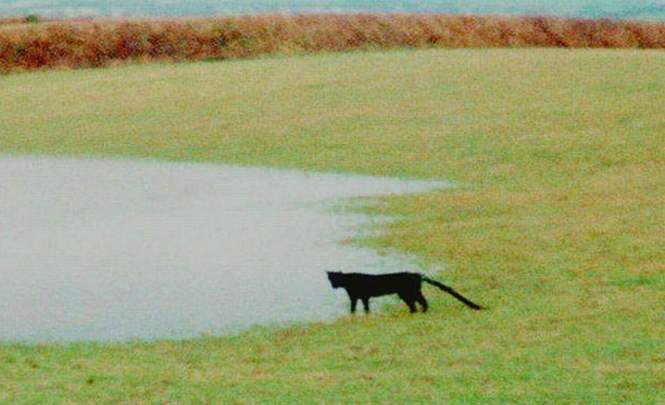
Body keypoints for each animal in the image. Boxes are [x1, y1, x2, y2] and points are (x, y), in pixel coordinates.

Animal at [326, 272, 482, 312]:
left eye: (334, 279)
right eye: (330, 279)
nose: (332, 286)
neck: (347, 281)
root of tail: (417, 274)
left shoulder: (356, 297)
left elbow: (353, 308)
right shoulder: (363, 297)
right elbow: (365, 308)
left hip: (407, 292)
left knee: (419, 301)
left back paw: (419, 311)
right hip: (410, 292)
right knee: (419, 301)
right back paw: (418, 311)